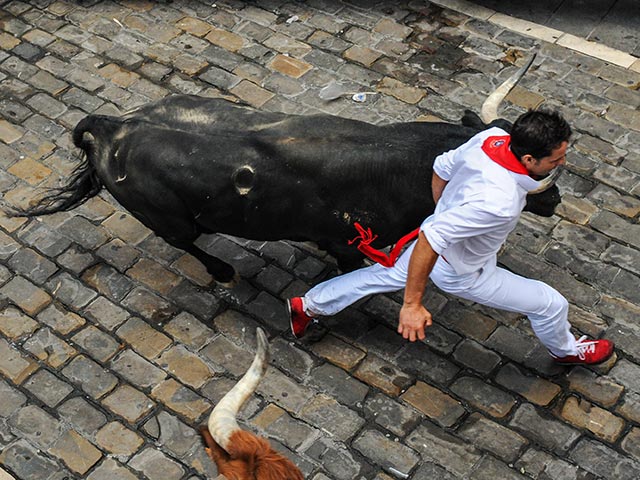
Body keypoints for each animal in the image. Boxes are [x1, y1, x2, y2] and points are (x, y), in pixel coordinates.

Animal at [21, 95, 560, 286]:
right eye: (529, 175)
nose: (557, 200)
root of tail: (112, 125)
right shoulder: (346, 244)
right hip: (167, 219)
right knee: (187, 243)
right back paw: (223, 272)